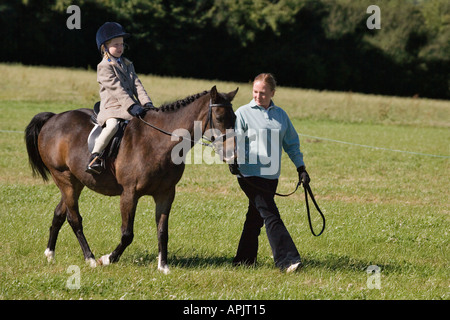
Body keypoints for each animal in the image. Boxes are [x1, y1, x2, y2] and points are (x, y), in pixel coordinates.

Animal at [25, 86, 237, 274]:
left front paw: (163, 266)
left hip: (76, 182)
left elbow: (163, 230)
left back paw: (50, 254)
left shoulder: (166, 194)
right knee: (74, 218)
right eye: (219, 117)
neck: (157, 143)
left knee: (60, 213)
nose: (233, 155)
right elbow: (127, 234)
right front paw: (107, 259)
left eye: (234, 119)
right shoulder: (129, 193)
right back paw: (90, 259)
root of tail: (54, 118)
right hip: (64, 177)